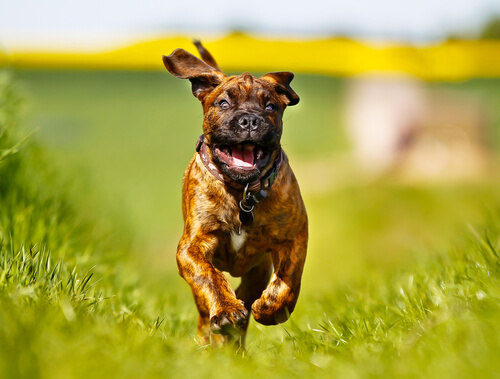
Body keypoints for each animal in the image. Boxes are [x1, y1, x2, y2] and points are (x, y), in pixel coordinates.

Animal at [162, 43, 306, 348]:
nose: (250, 120)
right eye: (224, 104)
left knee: (249, 292)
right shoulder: (191, 246)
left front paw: (272, 309)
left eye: (270, 106)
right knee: (205, 313)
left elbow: (288, 279)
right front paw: (226, 310)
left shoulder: (295, 237)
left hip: (259, 268)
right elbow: (209, 277)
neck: (242, 192)